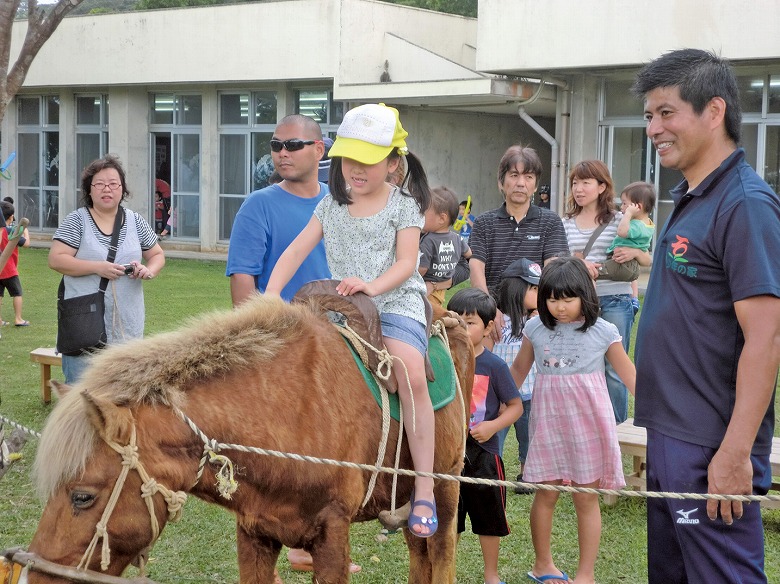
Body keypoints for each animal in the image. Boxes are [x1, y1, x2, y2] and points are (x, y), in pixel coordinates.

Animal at [24, 296, 472, 584]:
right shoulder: (255, 532)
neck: (286, 412)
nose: (33, 577)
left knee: (441, 557)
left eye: (82, 496)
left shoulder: (331, 534)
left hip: (445, 488)